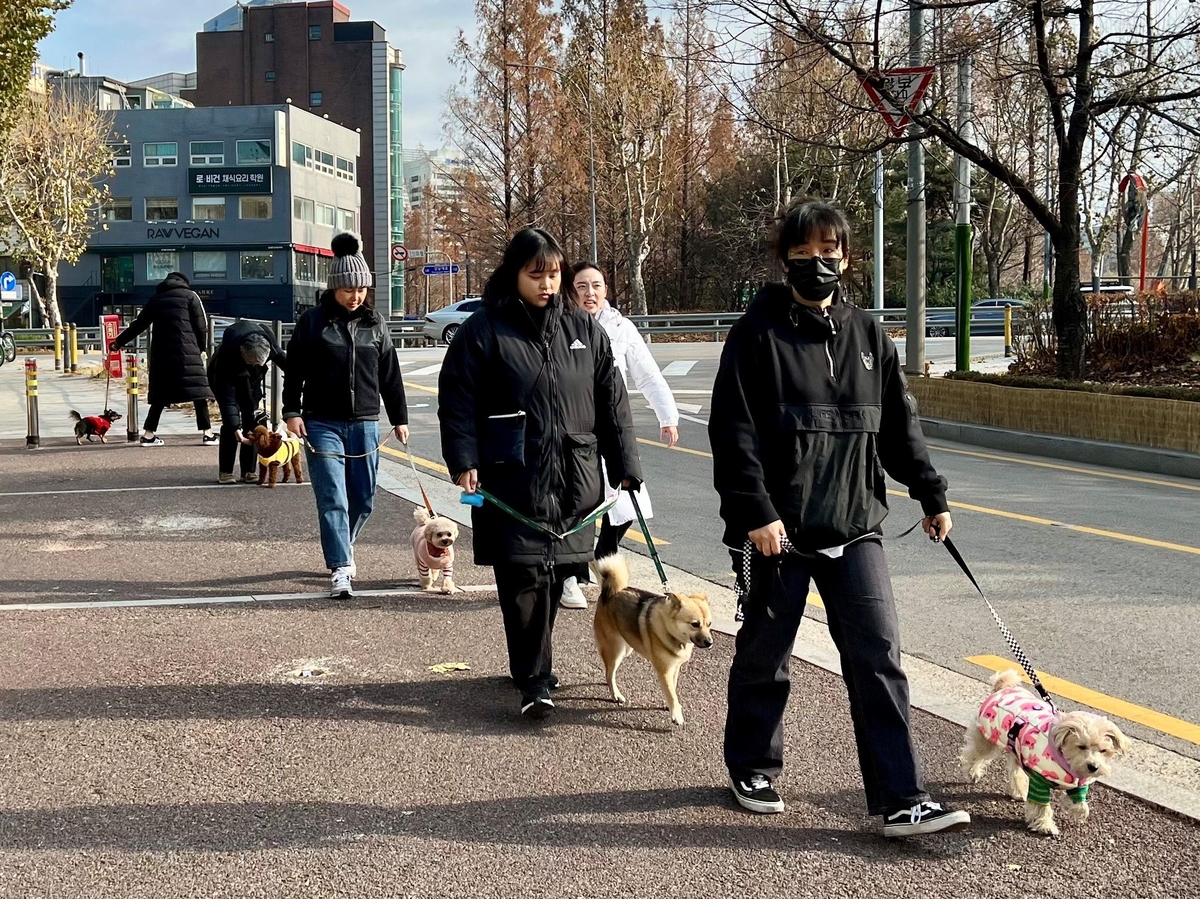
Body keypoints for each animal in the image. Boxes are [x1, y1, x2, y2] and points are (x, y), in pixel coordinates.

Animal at [590, 549, 710, 724]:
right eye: (695, 624)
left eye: (709, 624)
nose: (710, 642)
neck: (670, 630)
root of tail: (611, 593)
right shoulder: (664, 670)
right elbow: (671, 693)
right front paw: (676, 714)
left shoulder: (675, 668)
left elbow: (672, 689)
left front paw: (671, 706)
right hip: (615, 649)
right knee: (609, 673)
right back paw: (616, 694)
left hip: (626, 649)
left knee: (609, 672)